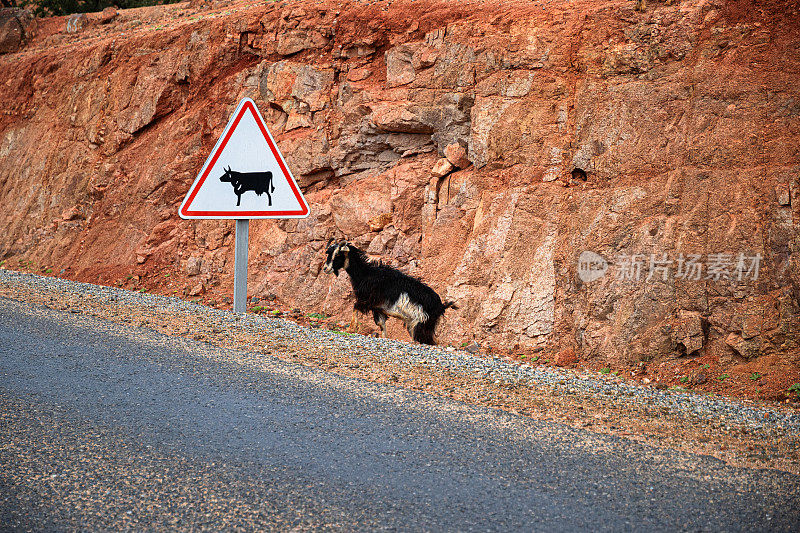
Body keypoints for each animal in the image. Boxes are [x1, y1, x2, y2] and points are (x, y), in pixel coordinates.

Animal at [320, 241, 456, 344]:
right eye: (329, 253)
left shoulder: (368, 301)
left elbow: (355, 307)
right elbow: (382, 326)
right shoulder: (378, 308)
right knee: (434, 341)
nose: (325, 268)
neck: (366, 274)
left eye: (338, 254)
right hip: (420, 325)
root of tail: (441, 306)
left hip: (421, 324)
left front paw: (351, 329)